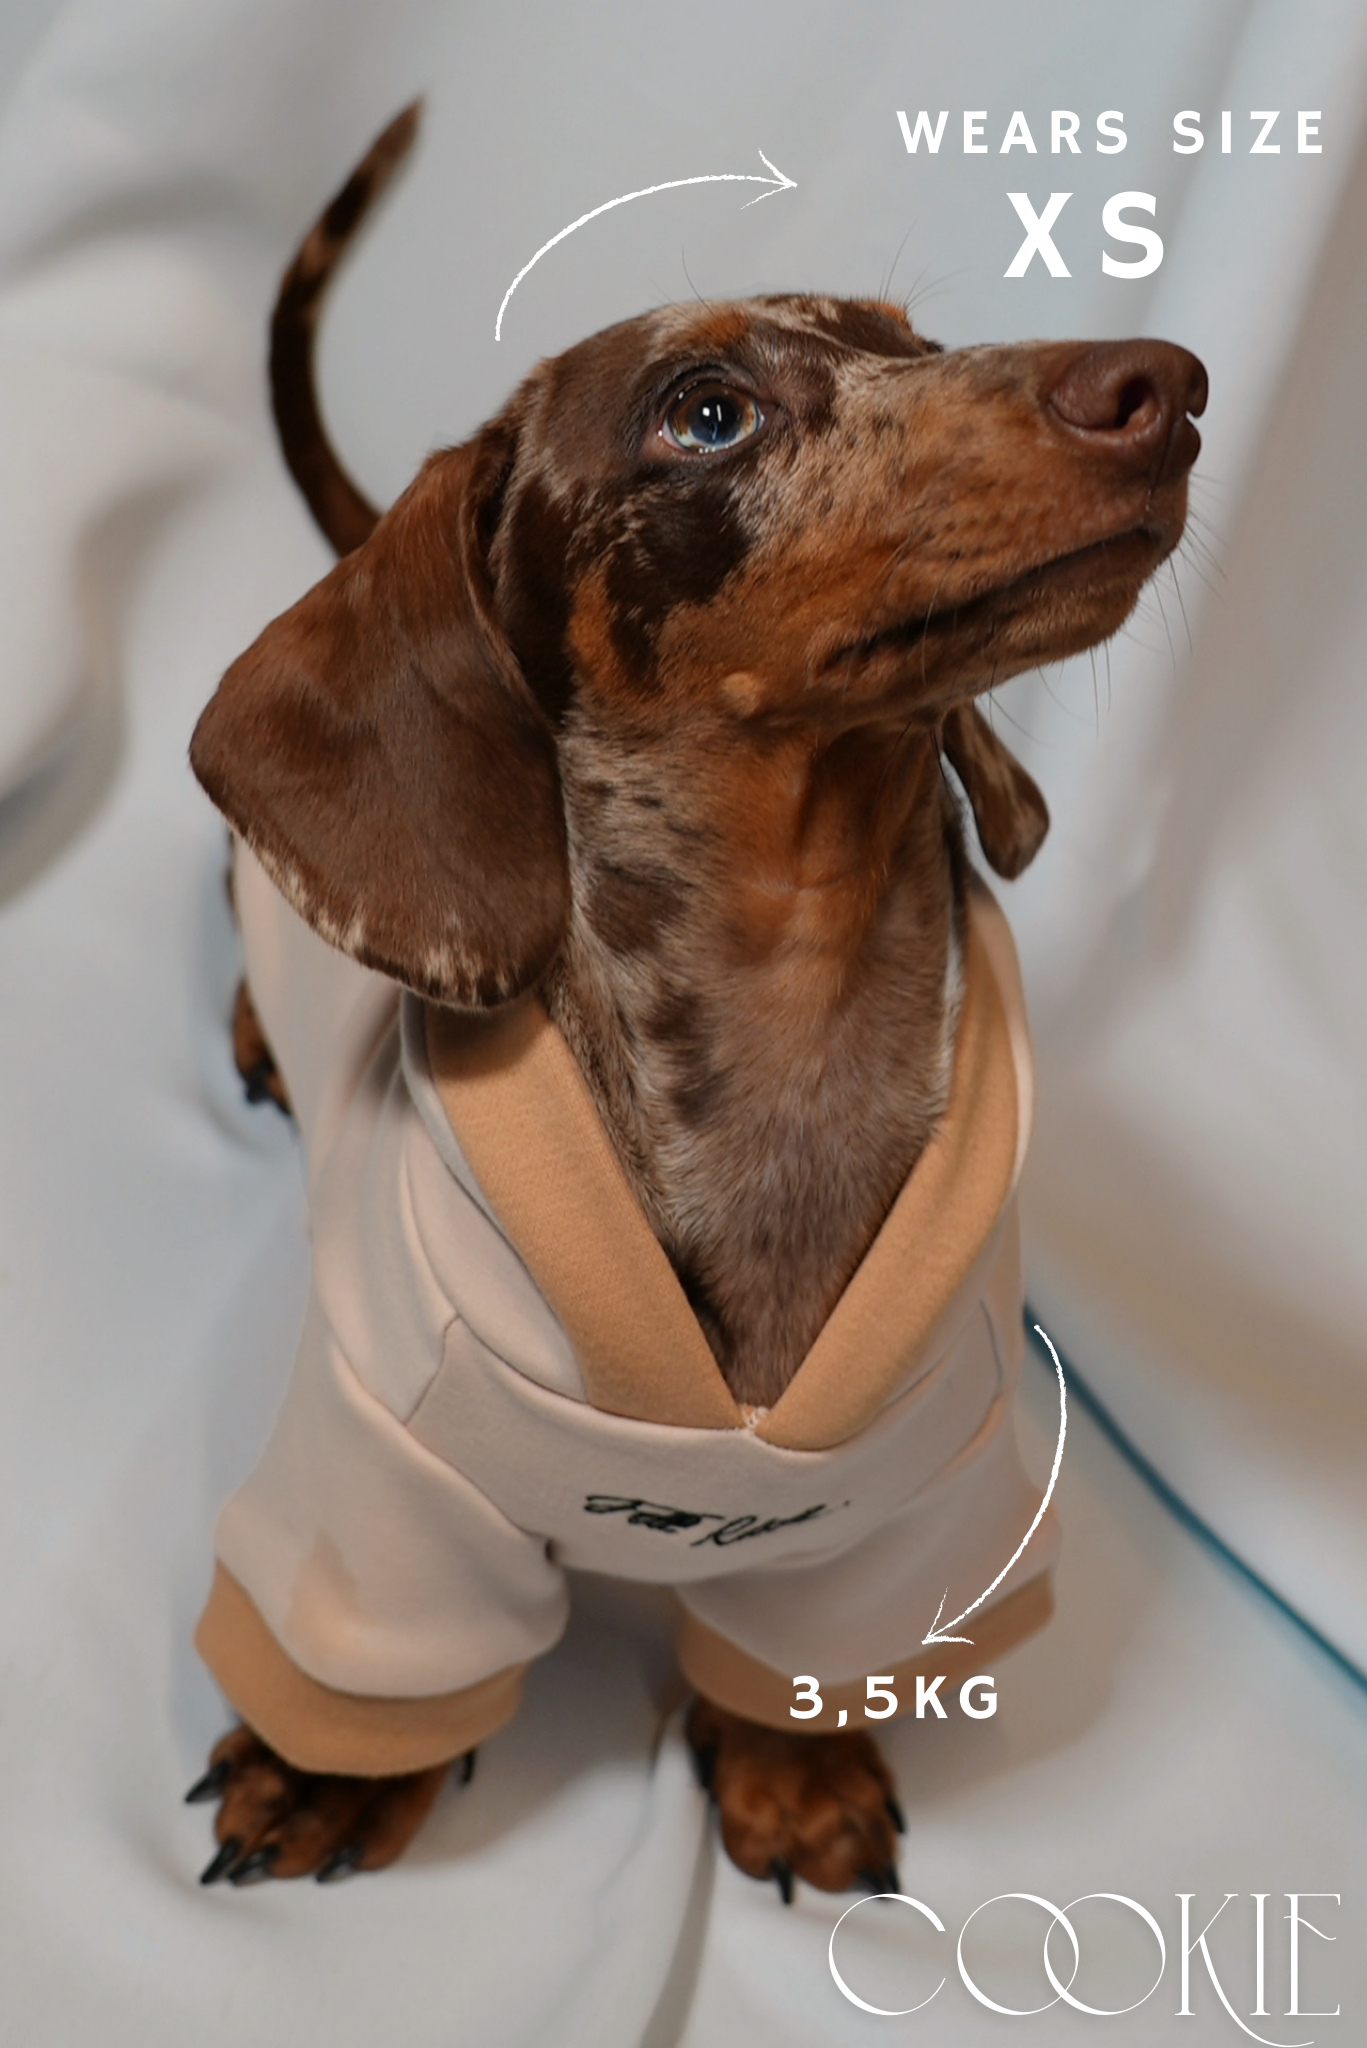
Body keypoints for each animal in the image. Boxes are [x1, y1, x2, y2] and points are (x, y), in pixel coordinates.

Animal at [185, 107, 1205, 1896]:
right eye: (704, 411)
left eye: (919, 347)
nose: (1164, 382)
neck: (789, 1028)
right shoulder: (386, 1473)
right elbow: (378, 1646)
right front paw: (319, 1773)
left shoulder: (919, 1491)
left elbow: (811, 1653)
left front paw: (792, 1771)